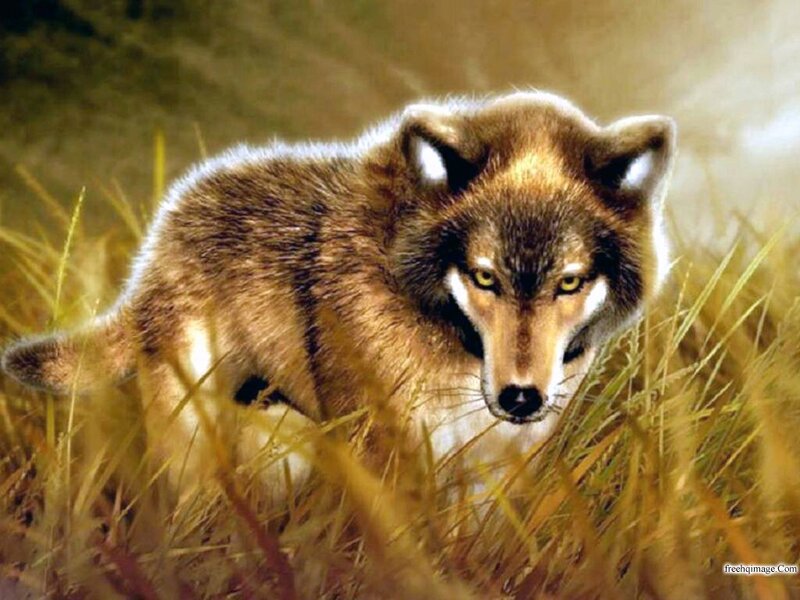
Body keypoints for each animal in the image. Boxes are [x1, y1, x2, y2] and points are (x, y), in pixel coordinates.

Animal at [2, 91, 676, 491]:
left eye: (570, 281)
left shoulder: (496, 476)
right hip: (202, 438)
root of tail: (165, 227)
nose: (520, 399)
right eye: (485, 276)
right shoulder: (383, 457)